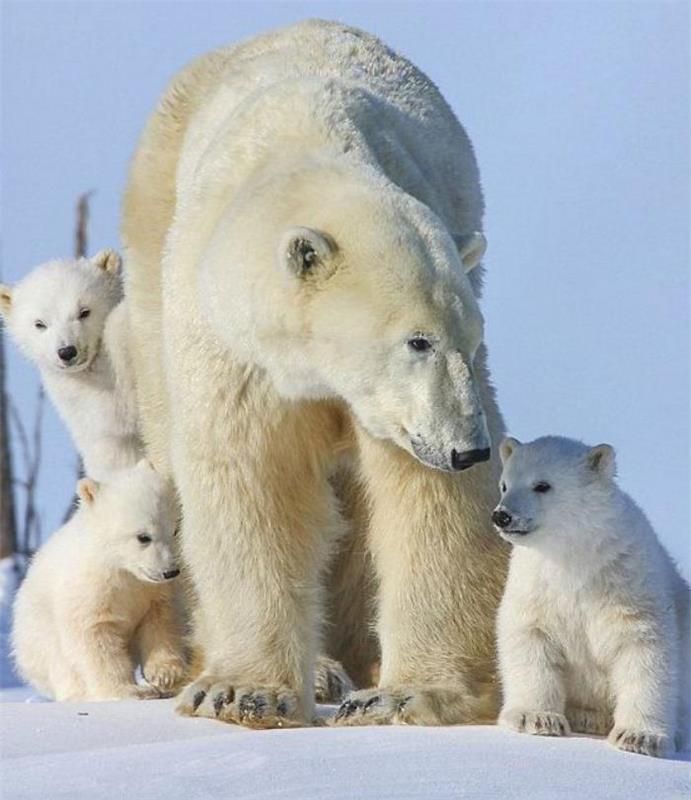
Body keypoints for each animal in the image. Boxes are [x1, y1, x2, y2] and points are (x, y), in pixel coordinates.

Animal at [123, 18, 508, 728]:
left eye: (472, 341)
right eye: (417, 339)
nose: (468, 449)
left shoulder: (399, 411)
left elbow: (429, 502)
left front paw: (405, 694)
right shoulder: (235, 350)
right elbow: (252, 478)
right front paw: (241, 692)